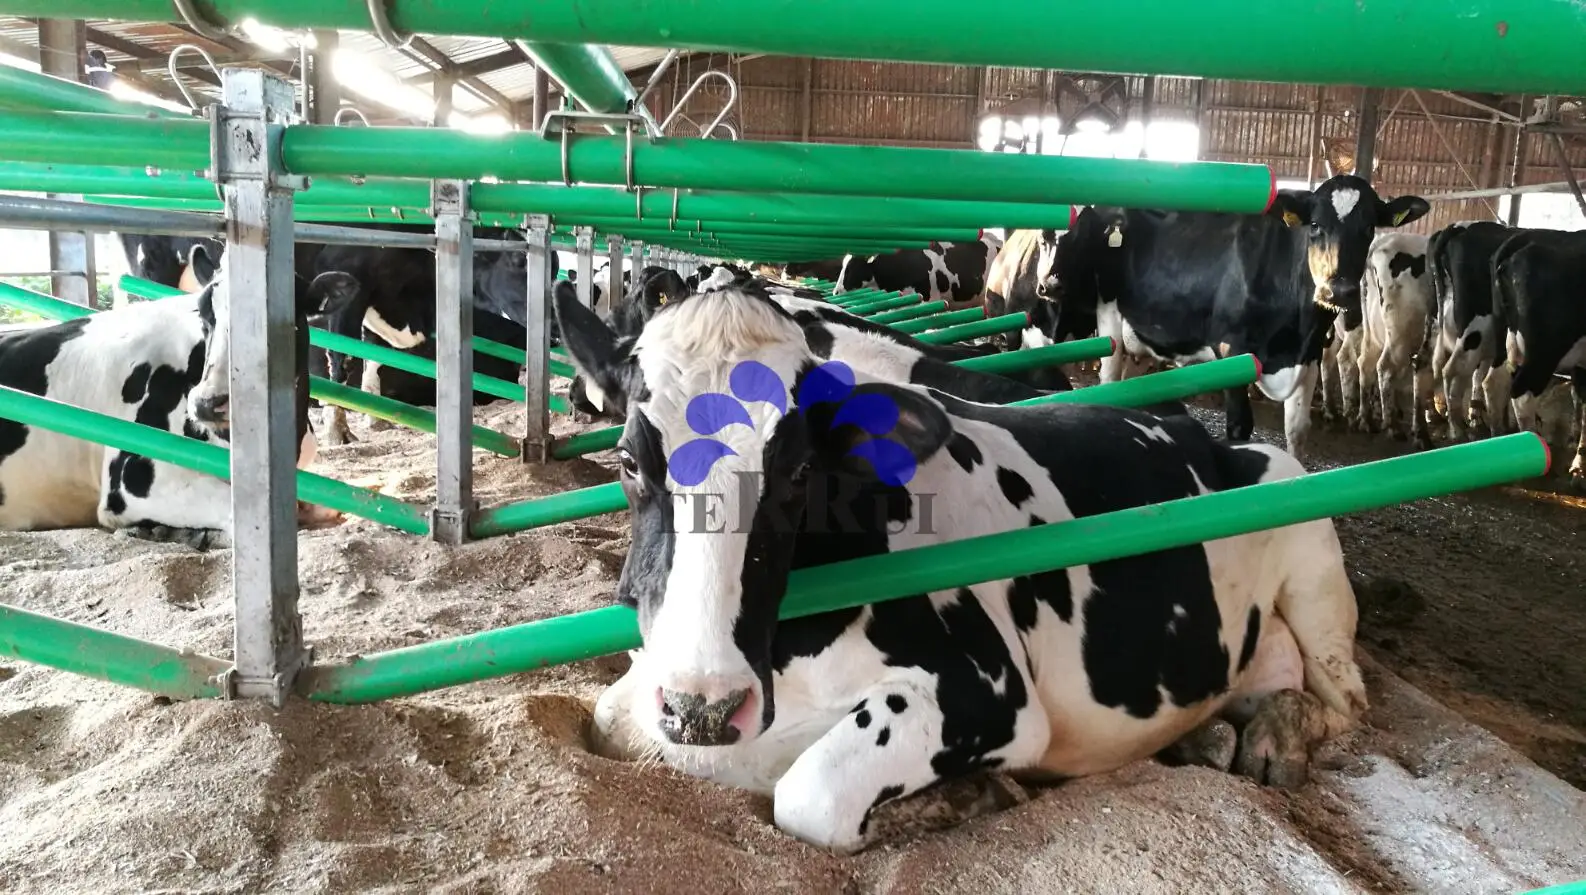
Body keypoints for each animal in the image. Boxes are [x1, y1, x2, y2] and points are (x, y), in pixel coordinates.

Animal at [564, 286, 1366, 853]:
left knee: (1344, 702)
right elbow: (611, 719)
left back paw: (1275, 740)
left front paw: (971, 796)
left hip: (1314, 559)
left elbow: (809, 793)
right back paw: (1209, 736)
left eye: (797, 469)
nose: (702, 706)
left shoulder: (985, 689)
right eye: (630, 459)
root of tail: (1204, 434)